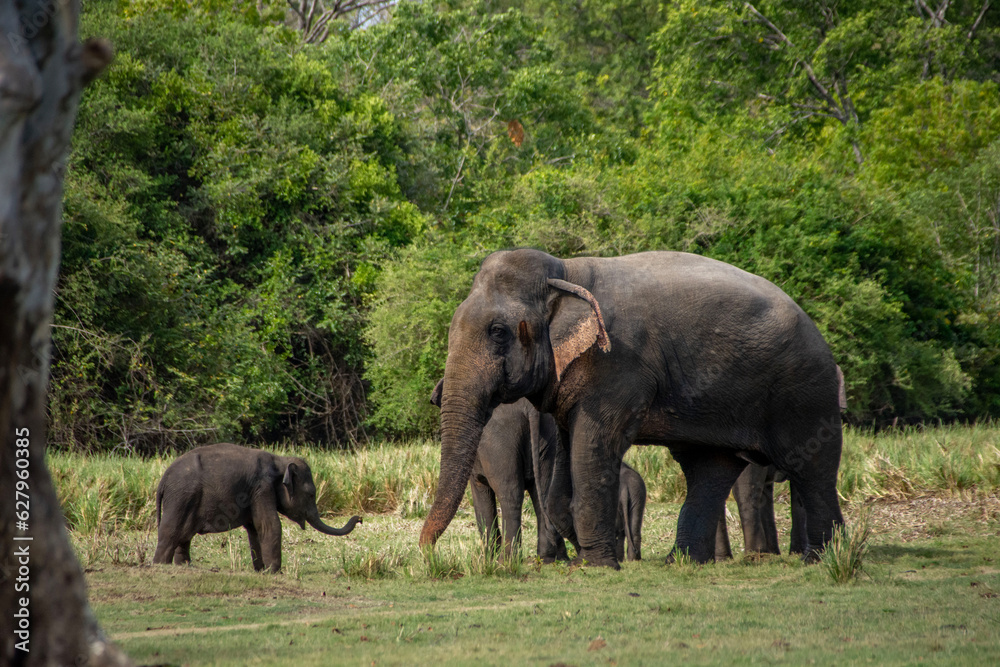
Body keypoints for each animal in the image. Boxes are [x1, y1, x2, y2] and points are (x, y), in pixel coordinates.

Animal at [154, 444, 362, 576]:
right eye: (311, 494)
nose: (359, 518)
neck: (279, 460)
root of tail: (163, 480)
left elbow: (255, 529)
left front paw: (261, 570)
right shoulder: (262, 488)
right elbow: (269, 525)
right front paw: (275, 573)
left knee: (184, 537)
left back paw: (184, 567)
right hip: (181, 498)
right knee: (170, 533)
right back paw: (160, 566)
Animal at [420, 250, 844, 568]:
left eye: (498, 332)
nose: (427, 555)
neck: (566, 272)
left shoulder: (616, 364)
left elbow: (594, 448)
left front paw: (595, 566)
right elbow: (564, 462)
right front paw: (585, 557)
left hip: (803, 392)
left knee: (811, 468)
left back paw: (823, 559)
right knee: (710, 470)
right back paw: (681, 562)